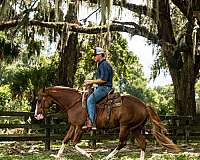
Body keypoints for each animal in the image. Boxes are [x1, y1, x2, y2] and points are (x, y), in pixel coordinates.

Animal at [34, 87, 180, 159]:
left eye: (39, 100)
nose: (36, 115)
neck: (74, 102)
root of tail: (144, 105)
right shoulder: (73, 125)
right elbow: (65, 140)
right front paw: (57, 155)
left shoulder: (79, 127)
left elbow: (74, 143)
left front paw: (89, 154)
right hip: (135, 129)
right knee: (143, 143)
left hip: (125, 127)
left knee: (122, 143)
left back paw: (106, 157)